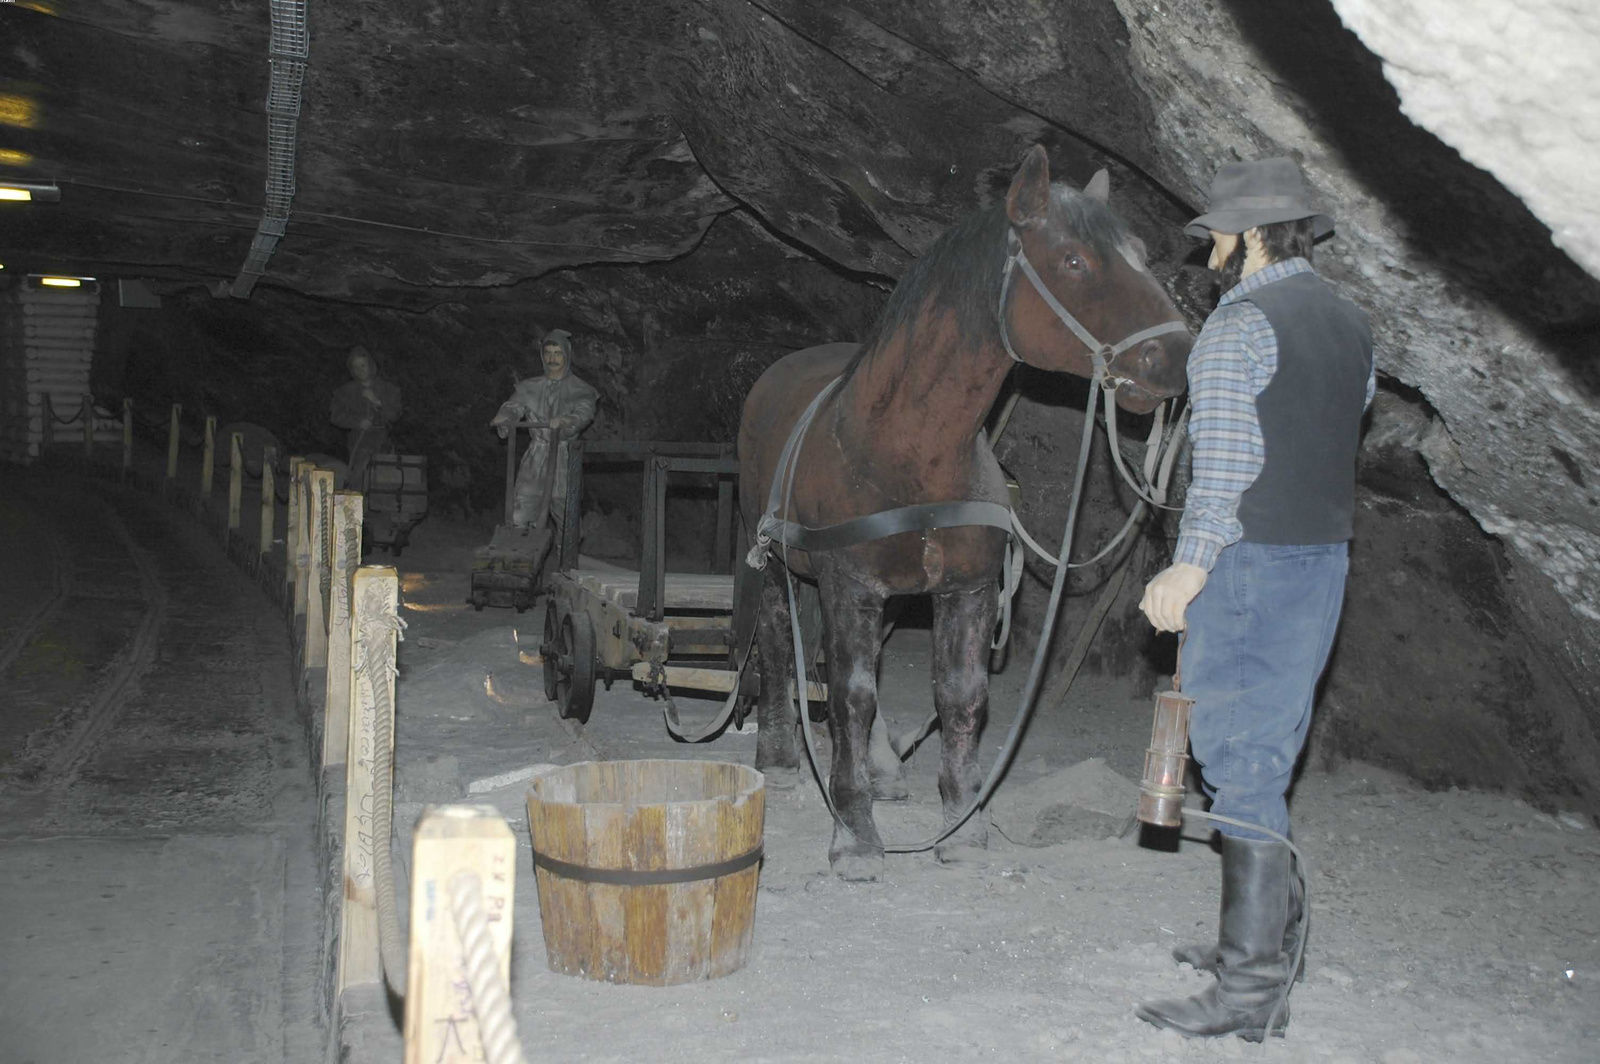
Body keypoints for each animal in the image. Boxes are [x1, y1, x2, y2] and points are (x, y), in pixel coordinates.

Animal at [736, 149, 1190, 876]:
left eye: (1143, 255)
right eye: (1072, 260)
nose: (1175, 356)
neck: (908, 448)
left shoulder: (967, 589)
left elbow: (961, 697)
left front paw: (960, 822)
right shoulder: (847, 585)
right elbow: (851, 694)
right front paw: (853, 830)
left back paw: (885, 768)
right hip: (777, 564)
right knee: (780, 646)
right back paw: (779, 757)